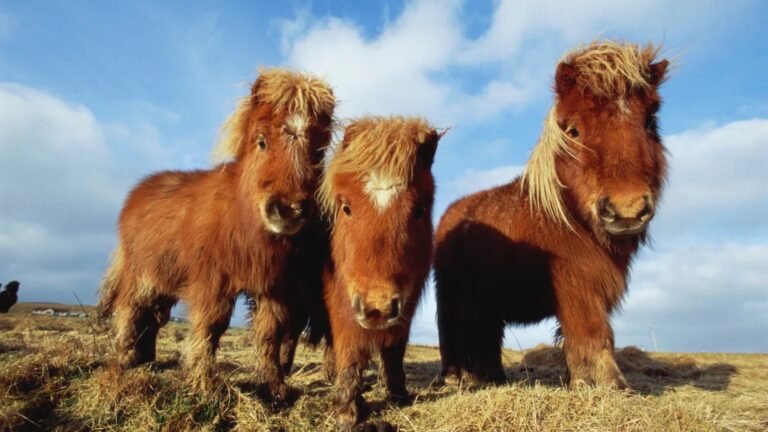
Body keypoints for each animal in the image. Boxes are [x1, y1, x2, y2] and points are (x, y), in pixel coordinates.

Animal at [97, 68, 336, 398]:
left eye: (319, 152)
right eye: (261, 141)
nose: (288, 209)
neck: (243, 220)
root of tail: (137, 193)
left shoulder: (274, 288)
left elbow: (270, 334)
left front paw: (273, 386)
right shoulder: (213, 282)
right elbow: (210, 327)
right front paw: (203, 383)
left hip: (165, 281)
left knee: (154, 318)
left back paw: (146, 361)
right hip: (141, 275)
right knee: (130, 311)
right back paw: (124, 362)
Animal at [319, 117, 441, 430]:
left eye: (419, 209)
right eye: (346, 207)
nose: (378, 309)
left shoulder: (406, 304)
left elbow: (395, 349)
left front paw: (399, 395)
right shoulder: (343, 301)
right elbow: (350, 350)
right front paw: (347, 412)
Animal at [435, 41, 669, 389]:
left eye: (650, 122)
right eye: (573, 130)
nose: (627, 211)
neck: (568, 218)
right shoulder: (577, 286)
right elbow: (593, 334)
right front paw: (609, 386)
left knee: (486, 338)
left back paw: (493, 379)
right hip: (457, 299)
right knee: (456, 334)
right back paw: (457, 379)